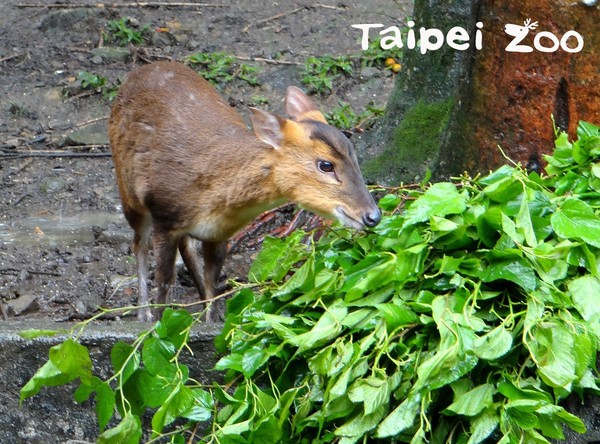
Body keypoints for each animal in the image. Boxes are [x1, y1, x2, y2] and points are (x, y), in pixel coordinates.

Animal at [109, 60, 380, 320]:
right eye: (326, 165)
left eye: (354, 156)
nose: (373, 215)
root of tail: (138, 71)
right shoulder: (164, 213)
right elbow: (164, 279)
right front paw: (156, 322)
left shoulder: (219, 233)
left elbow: (212, 281)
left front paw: (211, 320)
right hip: (128, 190)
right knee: (138, 243)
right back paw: (142, 312)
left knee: (185, 248)